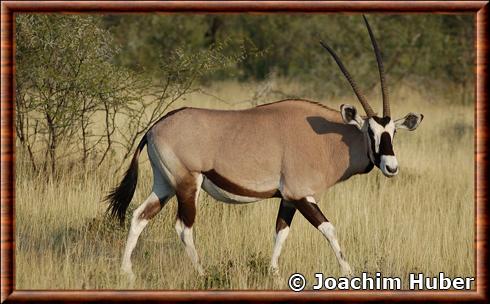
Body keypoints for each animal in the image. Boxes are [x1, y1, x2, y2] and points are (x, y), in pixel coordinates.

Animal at [106, 15, 422, 280]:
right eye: (370, 131)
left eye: (393, 132)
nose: (391, 166)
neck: (327, 140)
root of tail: (154, 127)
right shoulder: (302, 194)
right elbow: (329, 229)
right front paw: (349, 272)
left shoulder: (288, 198)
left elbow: (281, 233)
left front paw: (274, 273)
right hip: (187, 184)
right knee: (184, 228)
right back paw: (202, 272)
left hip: (165, 184)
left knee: (139, 216)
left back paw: (126, 272)